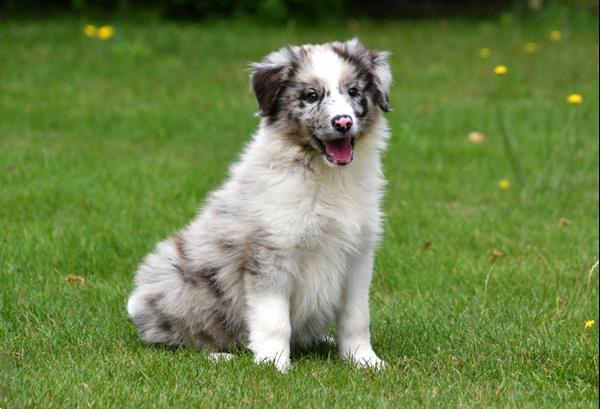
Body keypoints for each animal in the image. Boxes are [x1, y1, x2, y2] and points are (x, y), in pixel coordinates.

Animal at [125, 37, 394, 370]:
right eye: (311, 96)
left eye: (354, 91)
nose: (343, 122)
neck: (327, 177)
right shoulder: (271, 252)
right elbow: (274, 319)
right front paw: (273, 364)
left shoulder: (359, 254)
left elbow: (356, 317)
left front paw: (365, 361)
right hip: (174, 280)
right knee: (177, 339)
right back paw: (220, 355)